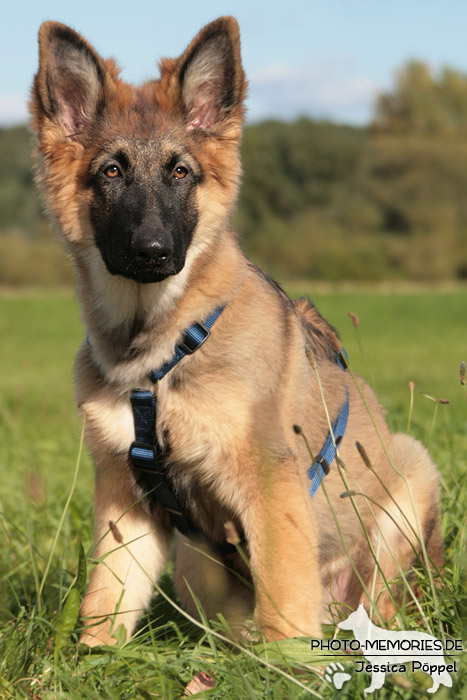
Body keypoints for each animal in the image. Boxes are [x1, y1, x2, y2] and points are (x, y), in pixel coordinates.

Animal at [31, 15, 444, 644]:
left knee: (377, 606)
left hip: (408, 480)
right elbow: (105, 601)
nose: (153, 252)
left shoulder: (270, 483)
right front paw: (87, 659)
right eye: (111, 172)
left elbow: (283, 606)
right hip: (193, 565)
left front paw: (290, 662)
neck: (160, 350)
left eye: (180, 172)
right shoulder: (126, 499)